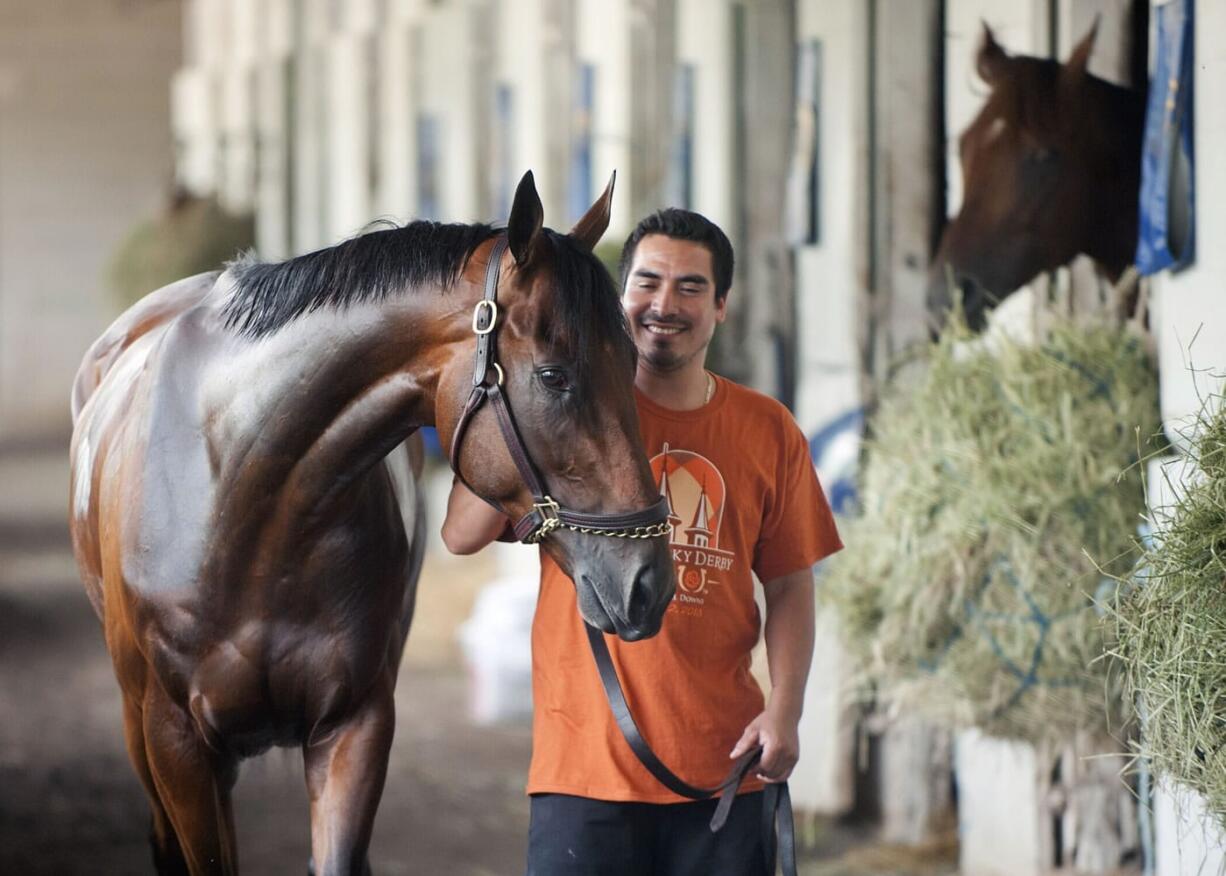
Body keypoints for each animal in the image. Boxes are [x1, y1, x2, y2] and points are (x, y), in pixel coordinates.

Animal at [69, 172, 671, 876]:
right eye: (554, 377)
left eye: (632, 361)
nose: (649, 583)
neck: (243, 504)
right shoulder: (176, 744)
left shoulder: (355, 726)